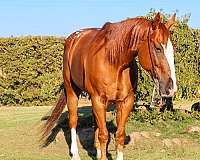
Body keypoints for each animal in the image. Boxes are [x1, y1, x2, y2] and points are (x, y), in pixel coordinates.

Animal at [41, 13, 176, 159]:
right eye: (158, 48)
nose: (171, 88)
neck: (115, 62)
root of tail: (73, 39)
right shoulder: (98, 99)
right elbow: (104, 135)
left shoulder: (125, 101)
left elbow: (119, 135)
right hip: (72, 91)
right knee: (73, 121)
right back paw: (75, 154)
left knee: (96, 123)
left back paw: (98, 151)